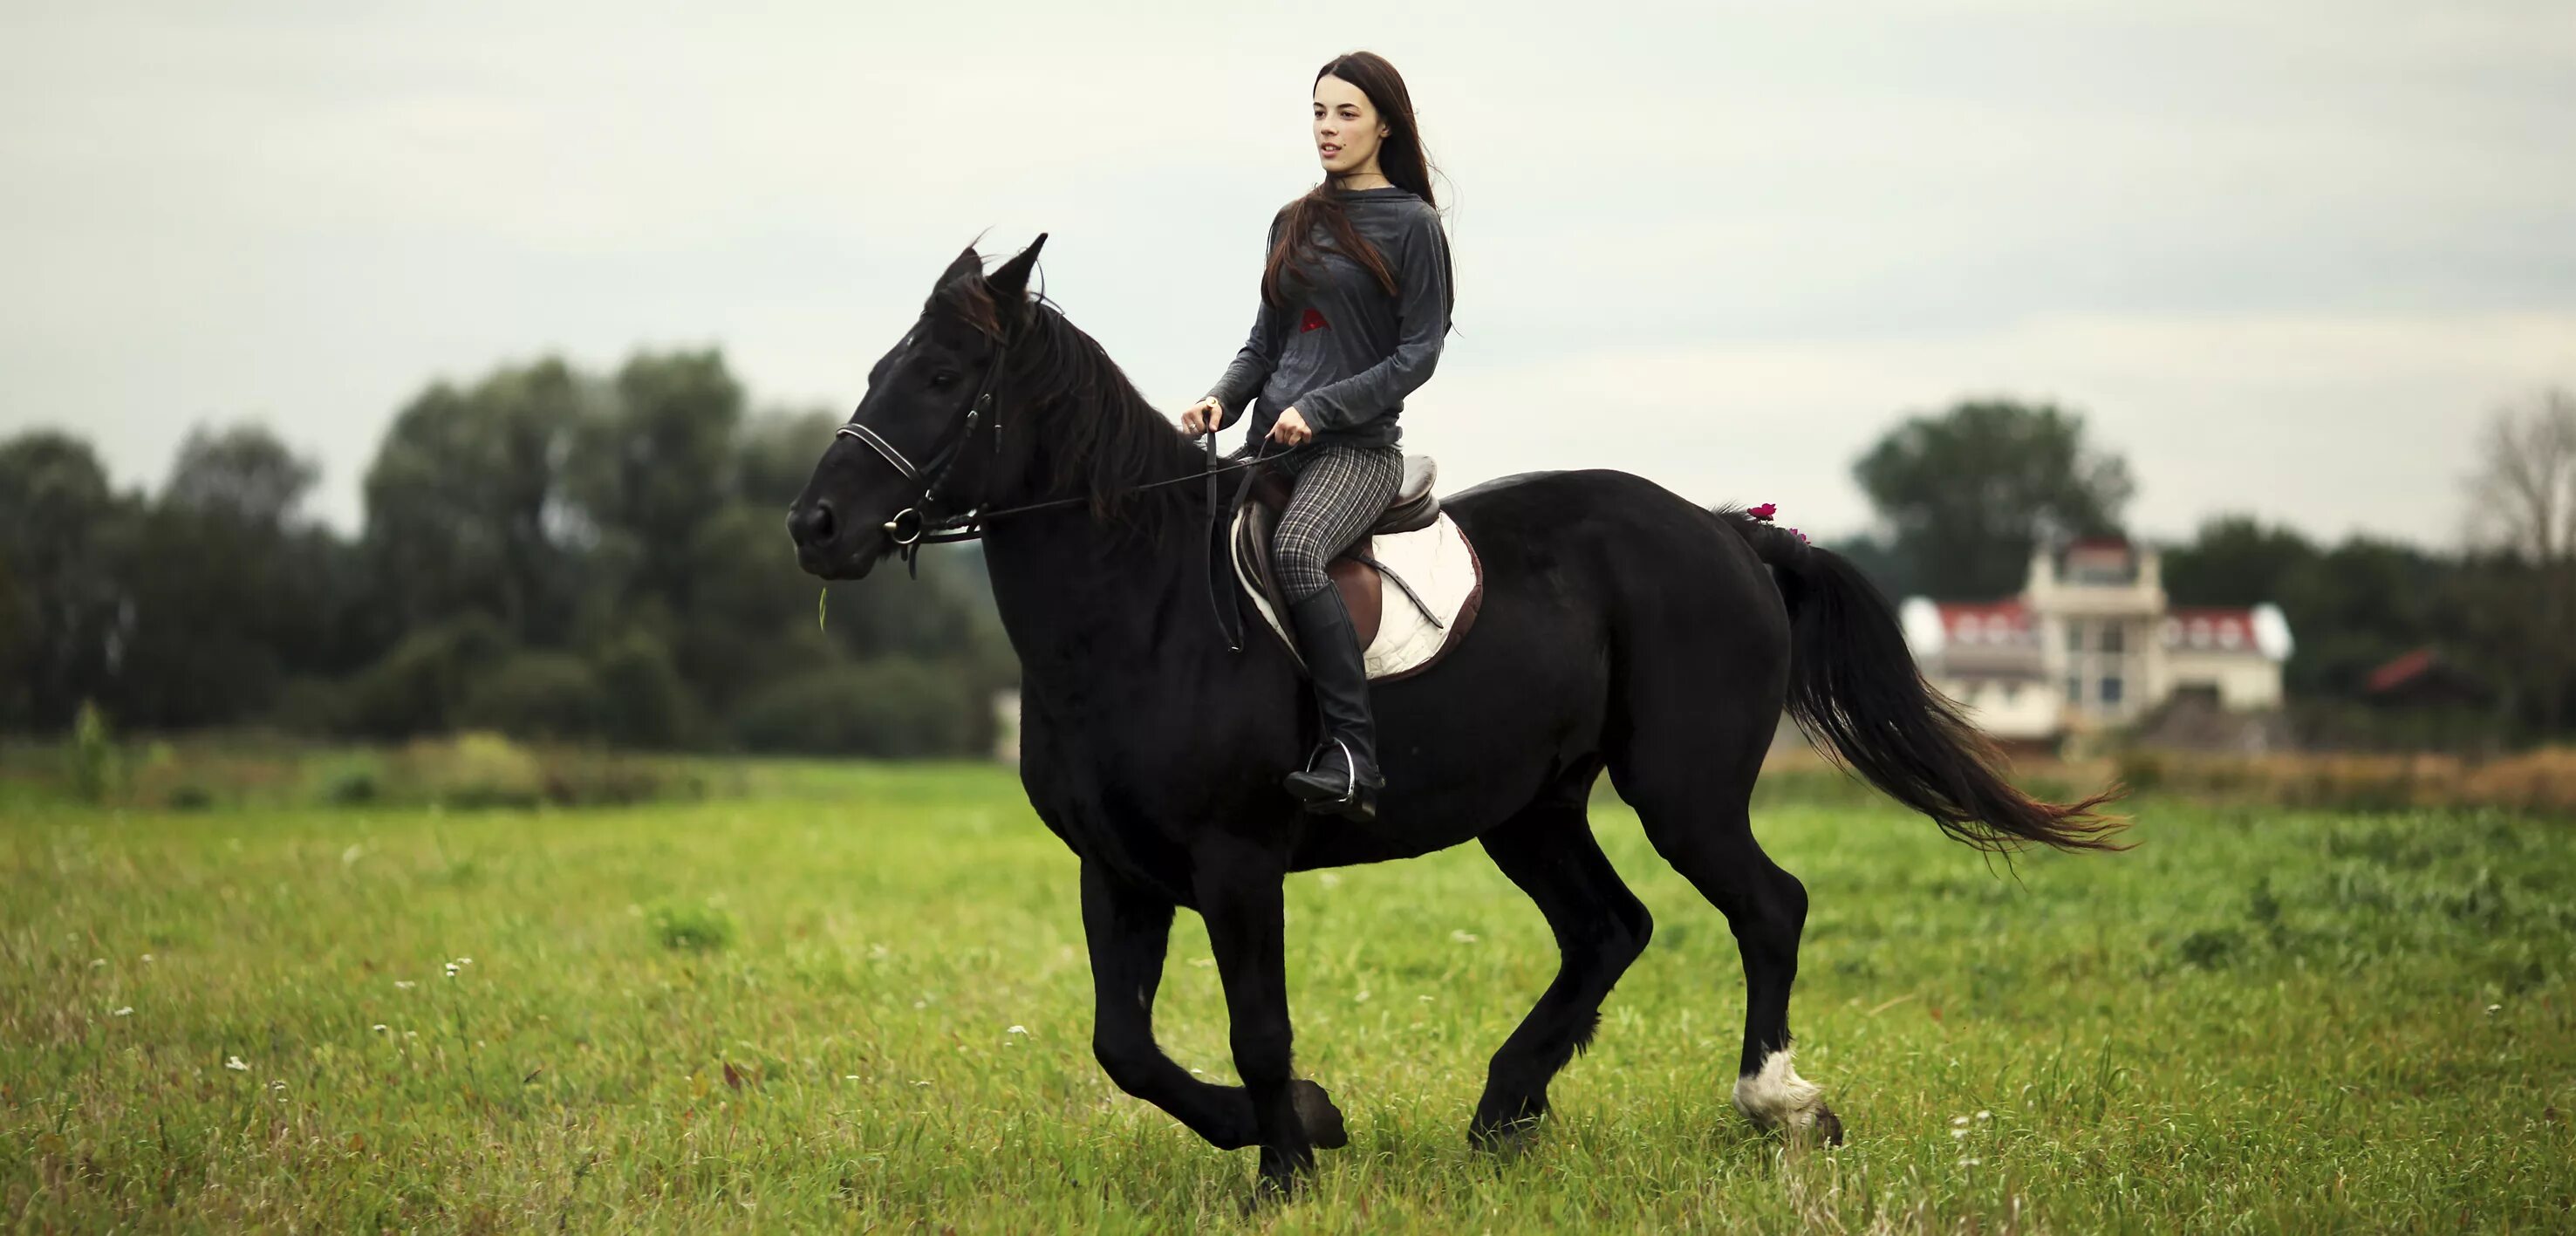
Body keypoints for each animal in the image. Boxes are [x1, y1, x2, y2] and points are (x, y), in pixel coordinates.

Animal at [782, 236, 2112, 1194]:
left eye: (942, 379)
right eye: (880, 370)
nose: (816, 527)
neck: (1142, 606)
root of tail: (1727, 531)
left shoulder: (1235, 860)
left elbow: (1257, 1027)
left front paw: (1286, 1167)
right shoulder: (1116, 868)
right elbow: (1127, 1046)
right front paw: (1306, 1124)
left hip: (1680, 789)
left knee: (1764, 906)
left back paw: (1777, 1104)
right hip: (1531, 808)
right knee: (1609, 927)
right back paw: (1505, 1107)